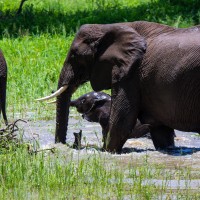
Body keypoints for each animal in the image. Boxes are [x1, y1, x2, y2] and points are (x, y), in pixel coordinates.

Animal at [37, 21, 200, 152]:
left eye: (75, 55)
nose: (62, 145)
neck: (110, 27)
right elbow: (161, 132)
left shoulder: (131, 74)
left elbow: (121, 121)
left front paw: (106, 151)